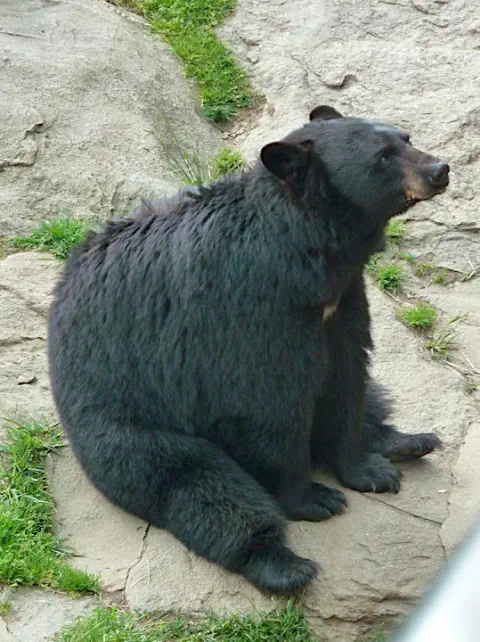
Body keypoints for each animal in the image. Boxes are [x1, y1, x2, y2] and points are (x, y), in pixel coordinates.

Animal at [47, 105, 449, 593]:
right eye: (384, 157)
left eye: (406, 138)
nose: (440, 169)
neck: (304, 250)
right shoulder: (251, 305)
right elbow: (270, 403)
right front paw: (313, 497)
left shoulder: (341, 301)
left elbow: (347, 377)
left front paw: (368, 470)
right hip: (126, 427)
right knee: (202, 487)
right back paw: (283, 564)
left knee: (372, 400)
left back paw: (408, 441)